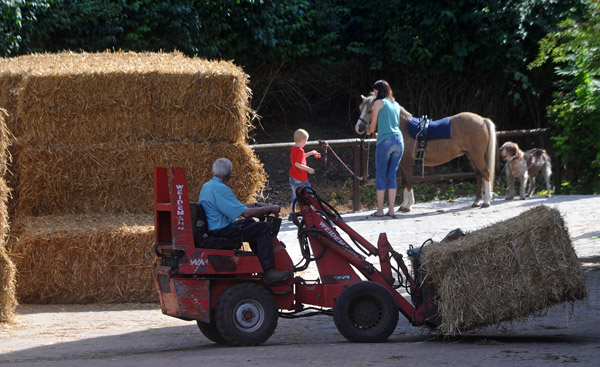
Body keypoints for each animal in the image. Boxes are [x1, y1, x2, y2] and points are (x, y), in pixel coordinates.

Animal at [356, 93, 496, 211]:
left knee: (485, 173)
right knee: (478, 175)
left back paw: (486, 202)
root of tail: (483, 120)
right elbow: (404, 182)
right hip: (471, 156)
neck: (402, 128)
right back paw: (476, 202)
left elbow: (409, 182)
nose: (358, 127)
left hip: (477, 156)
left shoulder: (407, 164)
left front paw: (408, 206)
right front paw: (403, 205)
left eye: (370, 110)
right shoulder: (401, 164)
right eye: (360, 108)